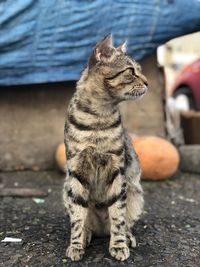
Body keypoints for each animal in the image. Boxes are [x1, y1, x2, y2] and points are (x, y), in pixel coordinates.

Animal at [63, 33, 148, 262]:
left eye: (140, 70)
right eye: (131, 71)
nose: (148, 82)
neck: (98, 118)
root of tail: (102, 229)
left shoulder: (117, 171)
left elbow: (118, 217)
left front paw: (118, 246)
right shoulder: (77, 171)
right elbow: (77, 219)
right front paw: (76, 245)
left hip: (135, 193)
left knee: (124, 223)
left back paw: (127, 237)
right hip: (66, 190)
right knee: (86, 222)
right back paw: (86, 236)